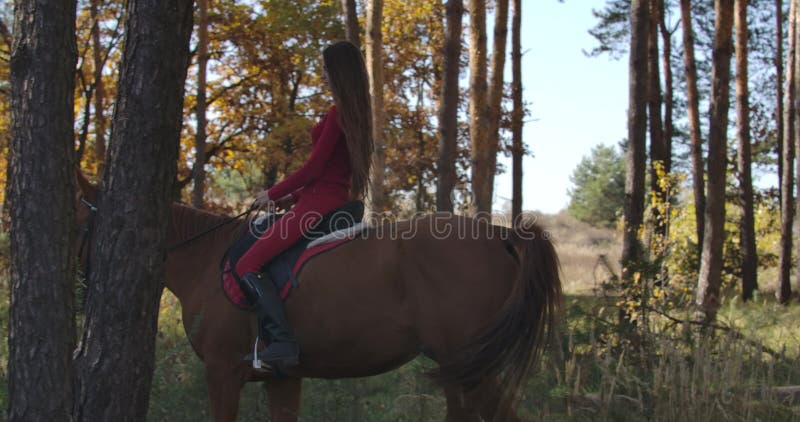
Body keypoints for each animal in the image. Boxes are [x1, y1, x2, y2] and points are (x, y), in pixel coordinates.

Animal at [76, 176, 564, 420]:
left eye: (81, 217)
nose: (82, 292)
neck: (205, 259)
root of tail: (500, 234)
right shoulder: (281, 378)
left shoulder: (222, 372)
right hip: (458, 370)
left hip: (471, 367)